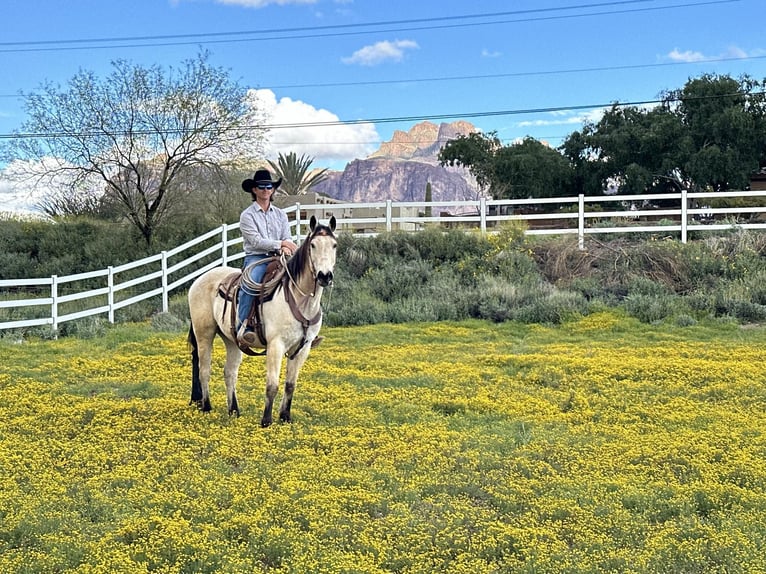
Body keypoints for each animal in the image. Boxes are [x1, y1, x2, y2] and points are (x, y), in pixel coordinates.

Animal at [187, 215, 337, 427]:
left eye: (334, 245)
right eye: (313, 245)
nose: (325, 276)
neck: (299, 300)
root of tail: (198, 280)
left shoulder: (302, 348)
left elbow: (290, 385)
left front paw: (285, 417)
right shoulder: (276, 345)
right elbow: (272, 385)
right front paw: (266, 421)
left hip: (231, 339)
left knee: (230, 372)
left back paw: (234, 410)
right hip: (204, 334)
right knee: (204, 369)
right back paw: (206, 406)